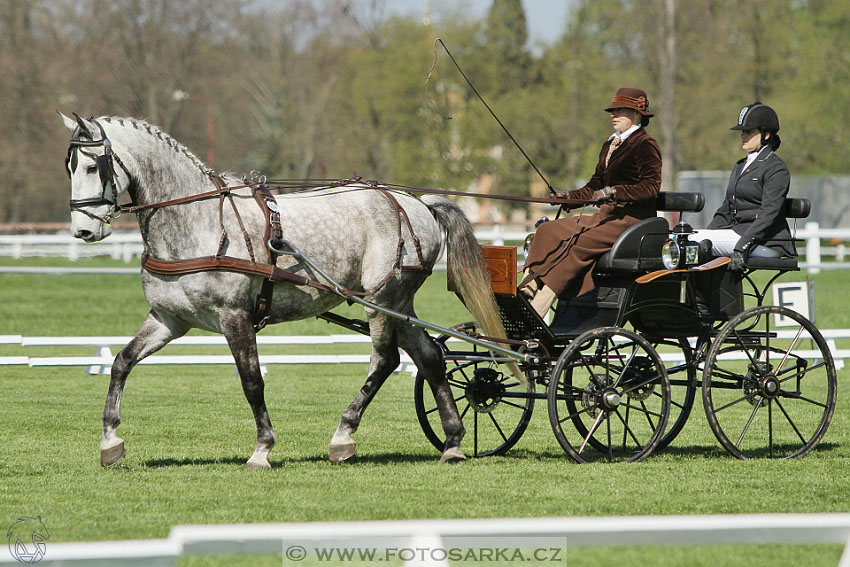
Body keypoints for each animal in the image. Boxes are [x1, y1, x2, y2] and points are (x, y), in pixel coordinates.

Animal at [66, 112, 506, 470]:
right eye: (68, 166)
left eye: (92, 165)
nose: (83, 230)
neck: (197, 219)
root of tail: (415, 202)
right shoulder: (169, 320)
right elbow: (121, 362)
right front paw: (110, 441)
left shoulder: (235, 316)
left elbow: (252, 381)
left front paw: (262, 449)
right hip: (400, 302)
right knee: (429, 356)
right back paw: (452, 440)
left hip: (381, 299)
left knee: (385, 360)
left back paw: (344, 436)